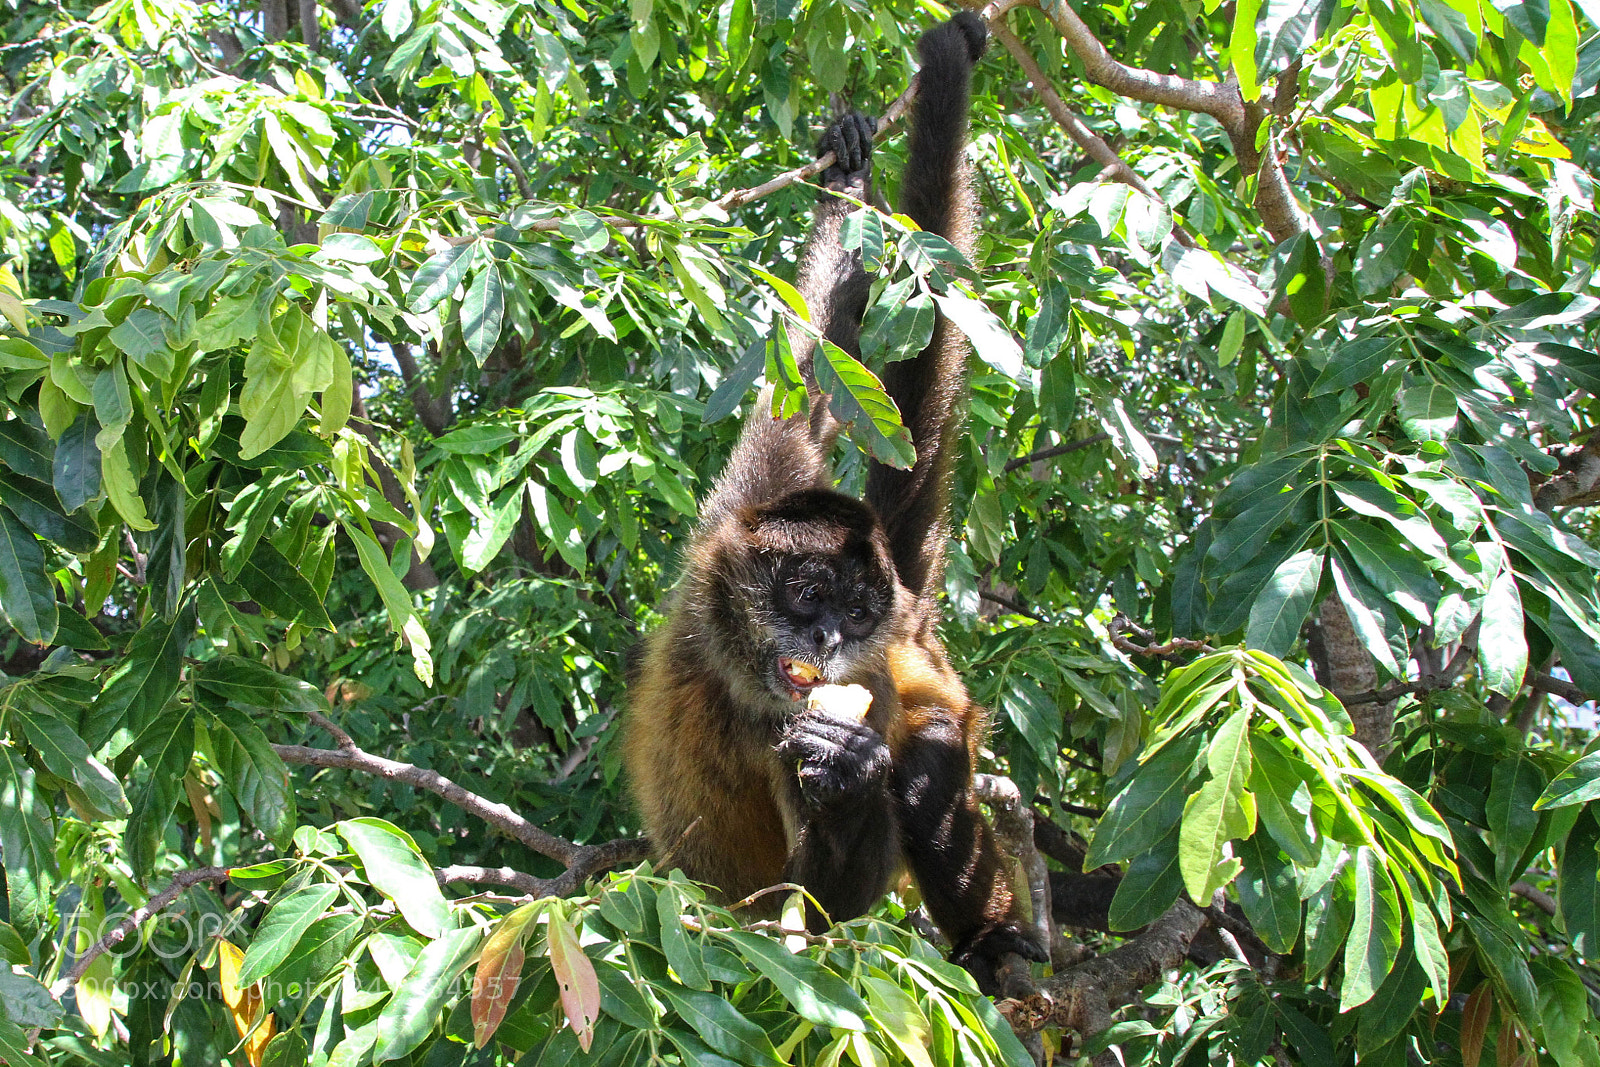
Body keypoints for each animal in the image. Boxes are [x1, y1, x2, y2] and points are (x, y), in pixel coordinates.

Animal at [622, 12, 1046, 992]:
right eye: (808, 594)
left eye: (853, 612)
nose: (827, 639)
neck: (736, 682)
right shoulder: (741, 513)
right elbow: (810, 364)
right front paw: (847, 176)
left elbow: (826, 910)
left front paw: (852, 774)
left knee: (929, 767)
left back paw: (991, 938)